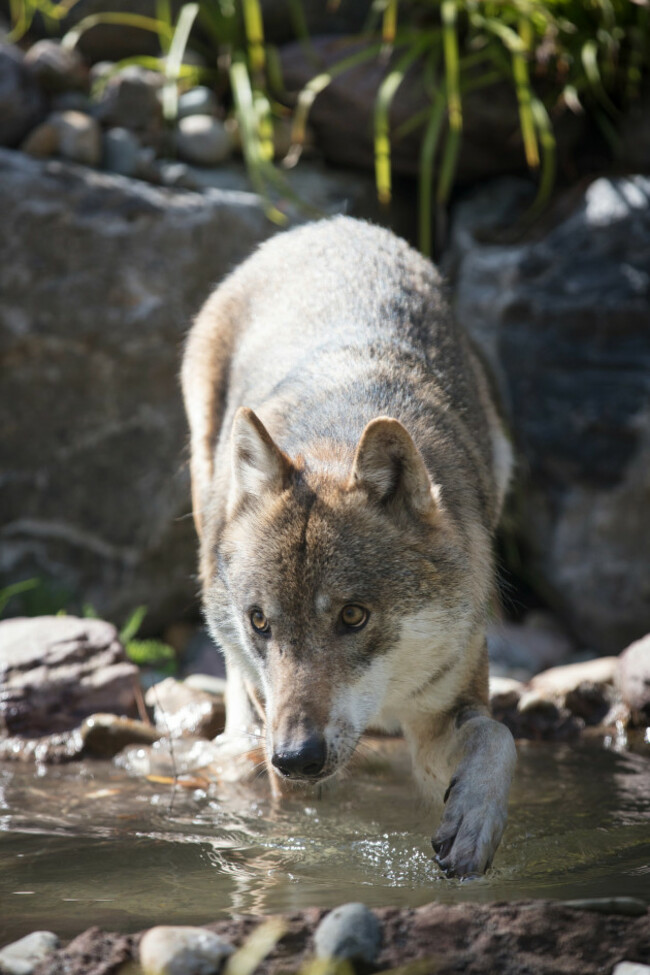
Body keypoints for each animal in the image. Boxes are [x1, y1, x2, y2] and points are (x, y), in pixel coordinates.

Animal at [181, 217, 516, 880]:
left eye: (353, 616)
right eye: (260, 621)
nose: (294, 756)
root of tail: (330, 225)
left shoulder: (441, 713)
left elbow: (499, 738)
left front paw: (473, 825)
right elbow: (307, 833)